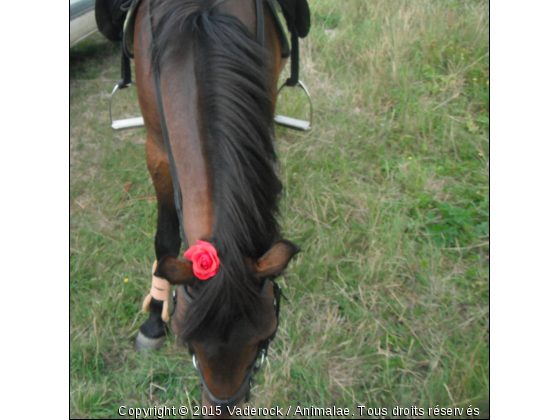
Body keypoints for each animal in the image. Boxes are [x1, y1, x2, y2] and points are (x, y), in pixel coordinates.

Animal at [132, 0, 298, 414]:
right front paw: (153, 320)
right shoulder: (157, 149)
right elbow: (165, 240)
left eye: (265, 335)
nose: (222, 405)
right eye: (187, 339)